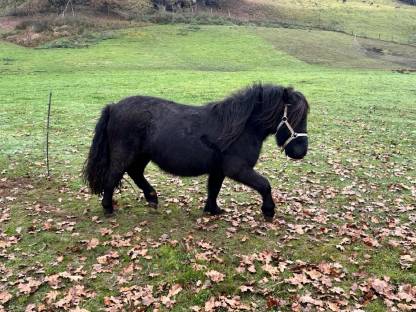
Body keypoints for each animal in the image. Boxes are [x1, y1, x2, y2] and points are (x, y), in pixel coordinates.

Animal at [83, 81, 308, 221]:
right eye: (293, 116)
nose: (301, 151)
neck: (241, 128)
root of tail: (113, 107)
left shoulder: (218, 169)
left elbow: (214, 189)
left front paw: (212, 210)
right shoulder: (237, 169)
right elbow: (265, 185)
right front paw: (268, 211)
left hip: (141, 155)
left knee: (135, 173)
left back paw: (152, 198)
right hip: (124, 154)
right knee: (113, 177)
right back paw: (109, 208)